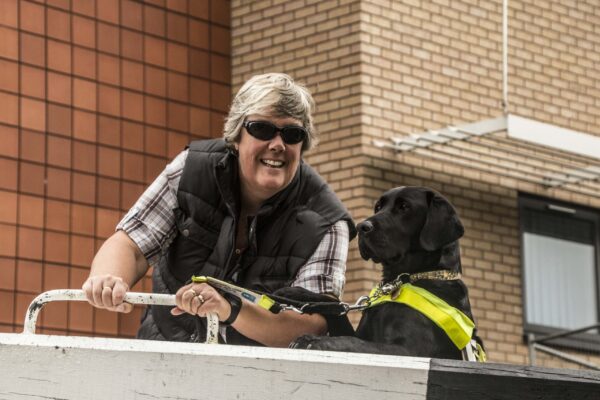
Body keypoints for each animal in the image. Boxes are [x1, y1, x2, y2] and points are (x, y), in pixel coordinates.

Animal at [290, 188, 482, 360]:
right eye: (378, 207)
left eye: (404, 206)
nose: (361, 227)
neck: (402, 280)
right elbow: (333, 306)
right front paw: (295, 293)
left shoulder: (410, 351)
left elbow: (353, 342)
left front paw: (313, 340)